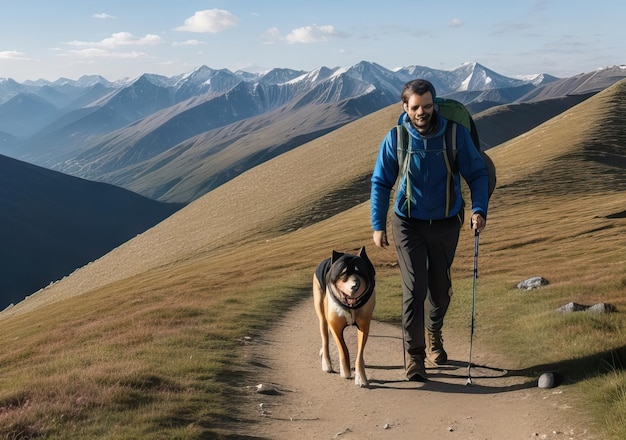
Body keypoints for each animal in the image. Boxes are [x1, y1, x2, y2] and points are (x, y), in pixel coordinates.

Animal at [312, 246, 376, 386]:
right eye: (343, 273)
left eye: (360, 271)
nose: (355, 285)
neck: (350, 307)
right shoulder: (335, 325)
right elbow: (343, 349)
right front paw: (345, 372)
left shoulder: (364, 325)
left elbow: (359, 352)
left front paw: (361, 378)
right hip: (321, 311)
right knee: (325, 337)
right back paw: (326, 363)